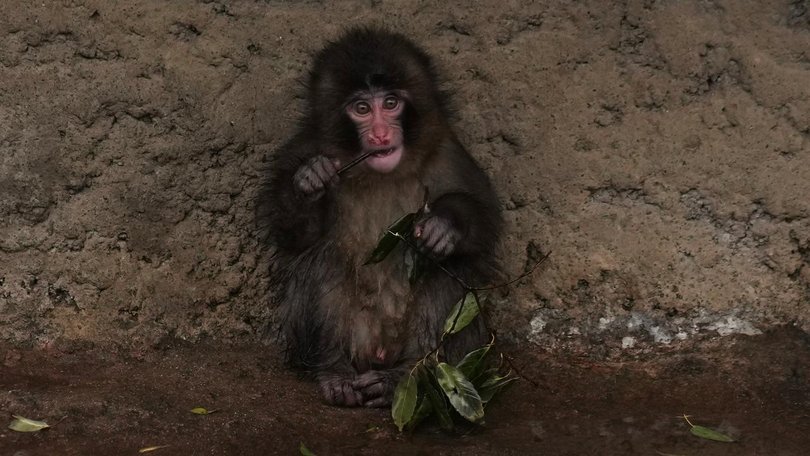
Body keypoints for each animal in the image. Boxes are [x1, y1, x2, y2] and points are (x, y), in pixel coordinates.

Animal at [257, 27, 503, 408]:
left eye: (390, 104)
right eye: (361, 109)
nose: (380, 135)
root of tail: (378, 353)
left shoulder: (448, 153)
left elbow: (485, 220)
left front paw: (445, 226)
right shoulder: (302, 148)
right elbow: (294, 236)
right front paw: (311, 180)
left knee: (446, 266)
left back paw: (405, 375)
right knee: (323, 258)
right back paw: (335, 371)